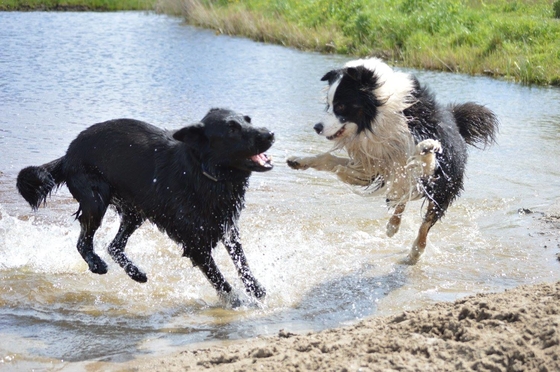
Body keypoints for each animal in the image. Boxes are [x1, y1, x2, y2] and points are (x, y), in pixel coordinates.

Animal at [18, 108, 276, 306]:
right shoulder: (196, 244)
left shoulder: (227, 227)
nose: (270, 133)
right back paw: (97, 264)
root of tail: (68, 154)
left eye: (248, 120)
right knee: (84, 242)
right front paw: (238, 301)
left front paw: (256, 288)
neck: (203, 172)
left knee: (114, 246)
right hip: (95, 201)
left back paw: (136, 273)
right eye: (232, 128)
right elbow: (219, 279)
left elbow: (242, 262)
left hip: (135, 211)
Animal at [288, 57, 498, 262]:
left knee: (426, 222)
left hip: (444, 189)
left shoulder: (434, 167)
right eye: (328, 104)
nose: (317, 127)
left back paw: (415, 252)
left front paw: (427, 147)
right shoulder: (372, 164)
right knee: (401, 197)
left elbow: (425, 160)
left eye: (340, 105)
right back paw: (392, 226)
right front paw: (299, 160)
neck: (379, 115)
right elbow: (329, 159)